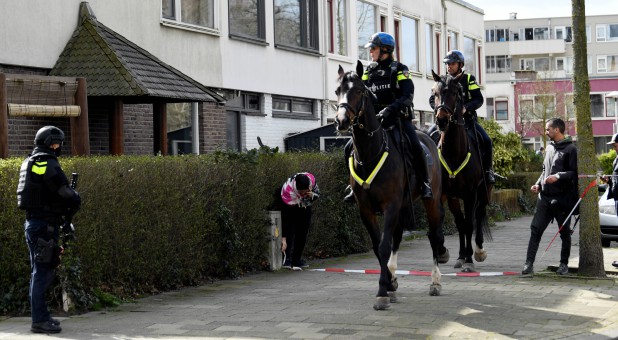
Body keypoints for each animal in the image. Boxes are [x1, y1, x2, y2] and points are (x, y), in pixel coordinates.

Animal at [334, 60, 446, 308]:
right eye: (337, 91)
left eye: (359, 91)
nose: (341, 120)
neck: (370, 152)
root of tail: (428, 138)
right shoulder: (366, 209)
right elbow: (379, 247)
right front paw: (388, 284)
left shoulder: (390, 205)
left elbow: (384, 246)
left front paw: (382, 293)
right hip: (404, 205)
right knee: (398, 237)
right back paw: (394, 276)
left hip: (431, 201)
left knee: (433, 236)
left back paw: (435, 281)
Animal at [428, 70, 490, 272]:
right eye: (434, 92)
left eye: (455, 93)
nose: (441, 120)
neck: (454, 153)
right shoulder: (445, 193)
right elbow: (448, 220)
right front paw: (445, 252)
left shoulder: (470, 193)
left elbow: (470, 223)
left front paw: (470, 260)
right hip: (455, 197)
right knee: (460, 222)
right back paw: (461, 256)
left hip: (484, 190)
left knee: (478, 215)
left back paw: (478, 251)